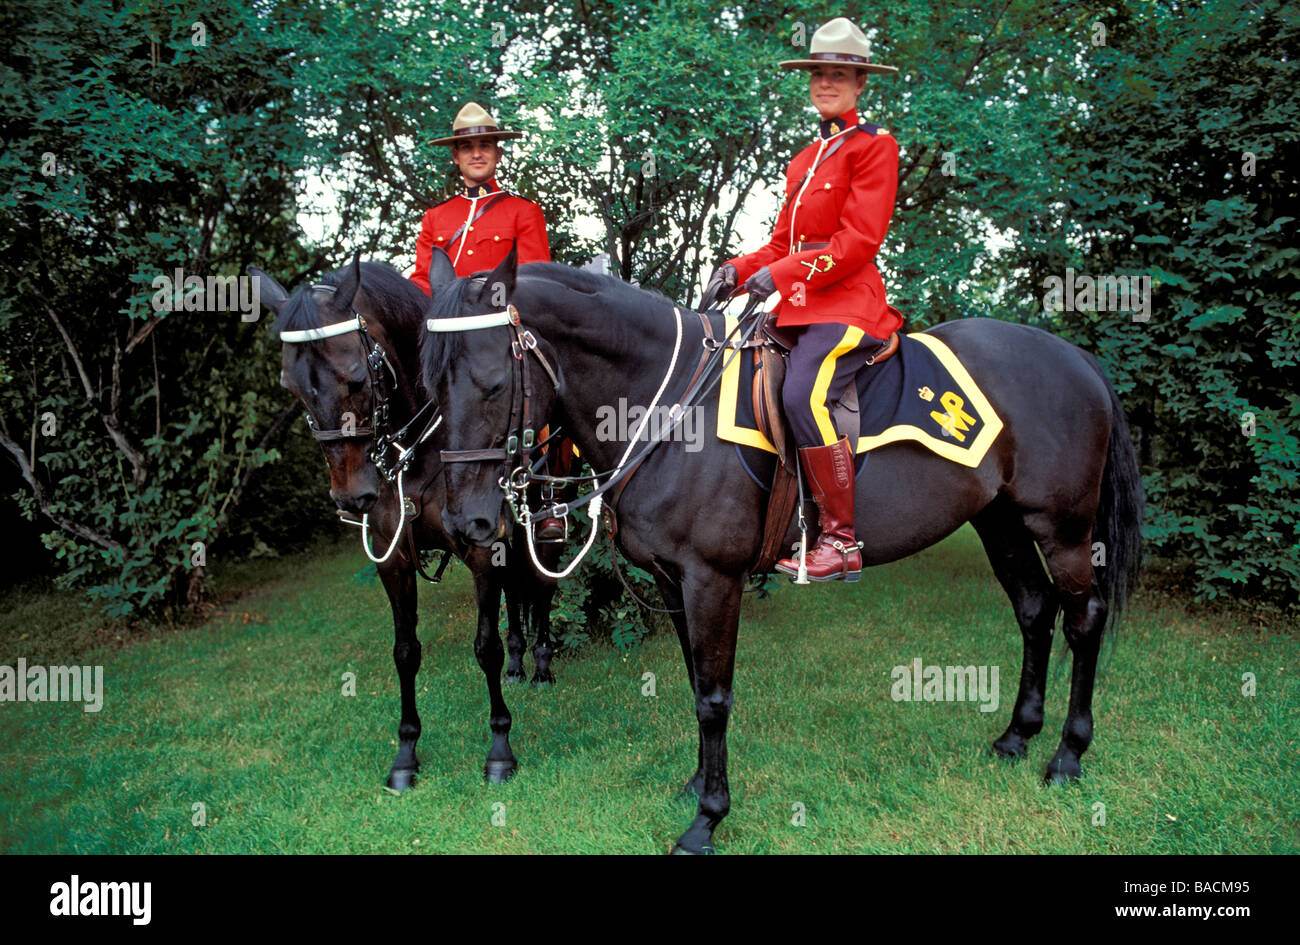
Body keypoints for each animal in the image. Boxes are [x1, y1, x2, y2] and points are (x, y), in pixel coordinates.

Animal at [252, 254, 559, 785]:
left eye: (356, 377)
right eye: (290, 388)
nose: (351, 496)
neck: (416, 457)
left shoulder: (481, 549)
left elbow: (486, 647)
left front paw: (500, 748)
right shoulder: (392, 558)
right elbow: (405, 651)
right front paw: (406, 752)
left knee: (539, 588)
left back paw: (539, 665)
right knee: (518, 593)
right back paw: (521, 661)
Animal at [421, 248, 1144, 852]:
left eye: (492, 384)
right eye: (431, 387)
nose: (466, 522)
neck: (668, 406)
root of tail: (1074, 358)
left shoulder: (713, 579)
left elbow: (714, 698)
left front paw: (708, 819)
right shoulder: (673, 582)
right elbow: (696, 682)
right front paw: (697, 784)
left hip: (1063, 528)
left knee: (1082, 621)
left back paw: (1067, 755)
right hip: (1002, 523)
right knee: (1034, 611)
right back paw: (1018, 735)